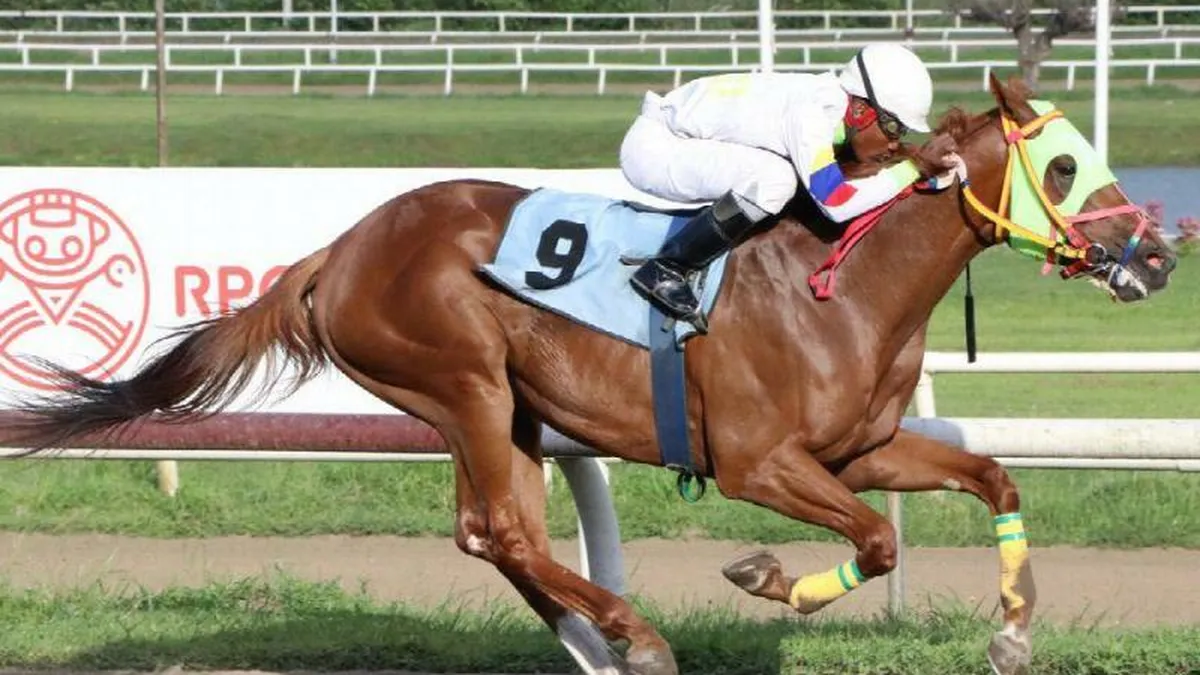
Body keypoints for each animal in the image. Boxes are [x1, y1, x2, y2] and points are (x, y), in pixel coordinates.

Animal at [3, 74, 1177, 675]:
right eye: (1063, 163)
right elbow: (877, 542)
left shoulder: (861, 449)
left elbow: (993, 481)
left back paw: (599, 636)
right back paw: (636, 636)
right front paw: (767, 579)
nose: (1159, 255)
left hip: (499, 406)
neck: (841, 286)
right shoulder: (759, 461)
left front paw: (1013, 629)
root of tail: (338, 250)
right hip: (467, 382)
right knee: (508, 531)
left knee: (488, 532)